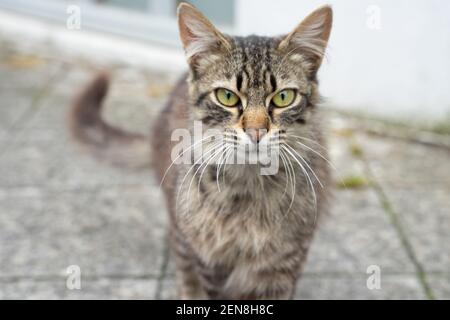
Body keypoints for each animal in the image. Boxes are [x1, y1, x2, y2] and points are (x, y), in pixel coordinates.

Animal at [69, 1, 330, 300]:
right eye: (227, 97)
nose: (256, 132)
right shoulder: (210, 263)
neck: (248, 188)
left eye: (283, 97)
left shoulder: (284, 265)